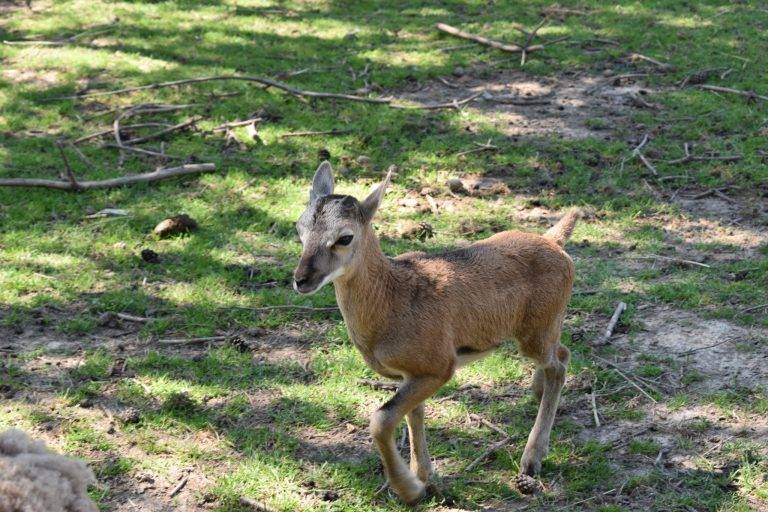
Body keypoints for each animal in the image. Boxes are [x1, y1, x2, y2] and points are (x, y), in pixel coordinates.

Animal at [294, 163, 576, 504]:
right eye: (299, 229)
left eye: (345, 237)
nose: (301, 279)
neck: (391, 302)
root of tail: (555, 243)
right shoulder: (410, 374)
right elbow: (413, 415)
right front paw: (426, 478)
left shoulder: (439, 366)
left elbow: (381, 419)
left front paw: (410, 489)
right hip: (542, 331)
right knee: (561, 353)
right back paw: (536, 393)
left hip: (535, 333)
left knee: (558, 364)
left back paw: (531, 459)